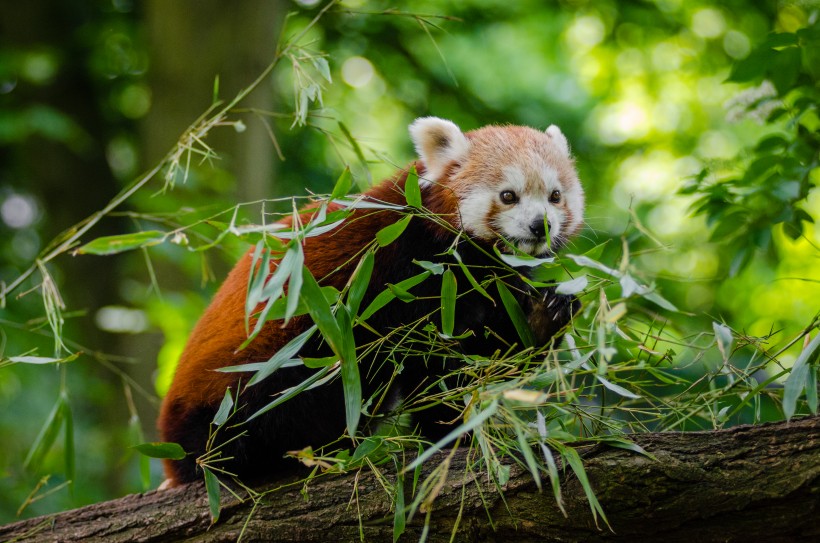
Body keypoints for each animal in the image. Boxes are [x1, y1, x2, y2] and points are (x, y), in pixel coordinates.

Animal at [159, 118, 584, 484]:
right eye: (508, 196)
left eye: (555, 196)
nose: (540, 225)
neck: (465, 263)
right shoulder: (403, 274)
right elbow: (428, 365)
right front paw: (450, 430)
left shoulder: (487, 285)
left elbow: (494, 345)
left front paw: (544, 317)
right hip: (260, 372)